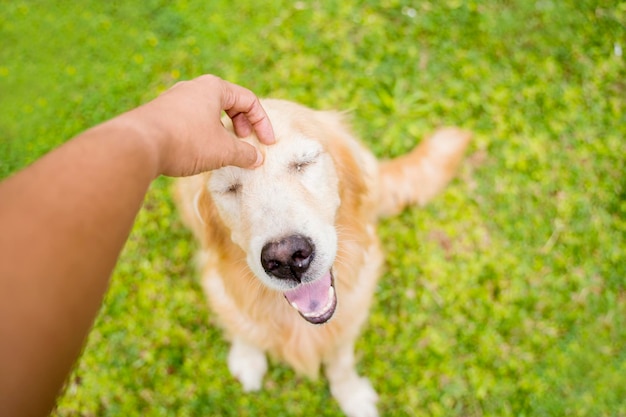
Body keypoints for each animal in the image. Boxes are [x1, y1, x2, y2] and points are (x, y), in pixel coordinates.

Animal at [173, 99, 466, 414]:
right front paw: (247, 359)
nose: (287, 258)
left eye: (304, 162)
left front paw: (351, 395)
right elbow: (242, 327)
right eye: (230, 188)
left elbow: (342, 362)